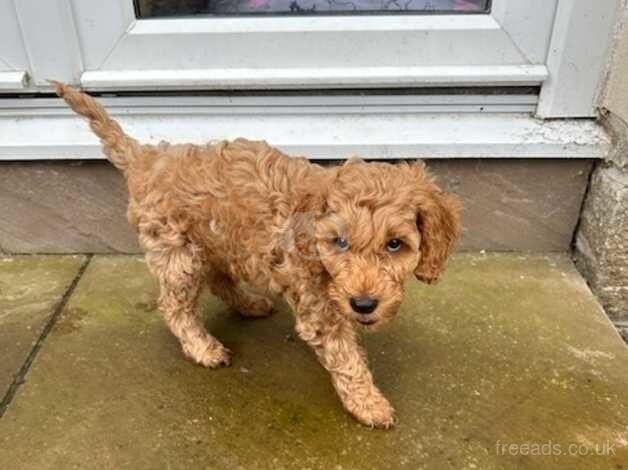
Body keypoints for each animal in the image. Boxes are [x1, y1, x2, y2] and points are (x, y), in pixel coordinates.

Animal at [54, 82, 462, 428]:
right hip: (178, 253)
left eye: (395, 244)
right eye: (340, 243)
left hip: (215, 241)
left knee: (219, 278)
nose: (363, 304)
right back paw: (203, 347)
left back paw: (250, 304)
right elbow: (346, 358)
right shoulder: (318, 307)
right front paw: (368, 403)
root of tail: (147, 157)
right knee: (175, 306)